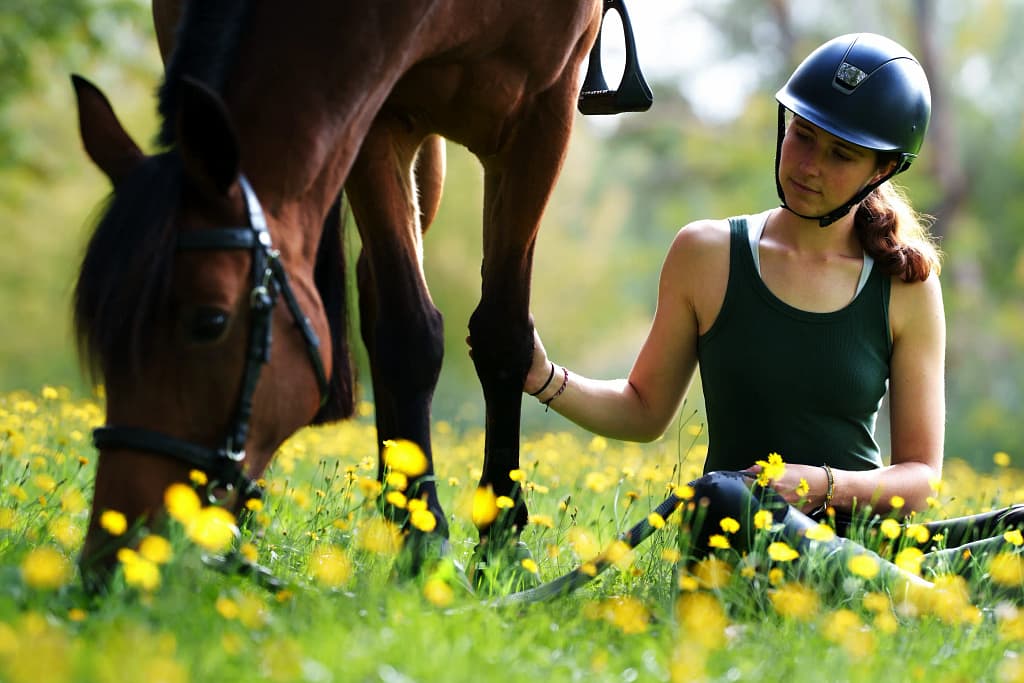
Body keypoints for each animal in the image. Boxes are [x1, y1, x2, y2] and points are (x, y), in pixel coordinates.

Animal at [73, 0, 649, 587]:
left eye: (208, 323)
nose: (110, 557)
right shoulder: (376, 115)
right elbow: (409, 332)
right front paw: (426, 542)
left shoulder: (542, 113)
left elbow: (502, 335)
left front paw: (500, 544)